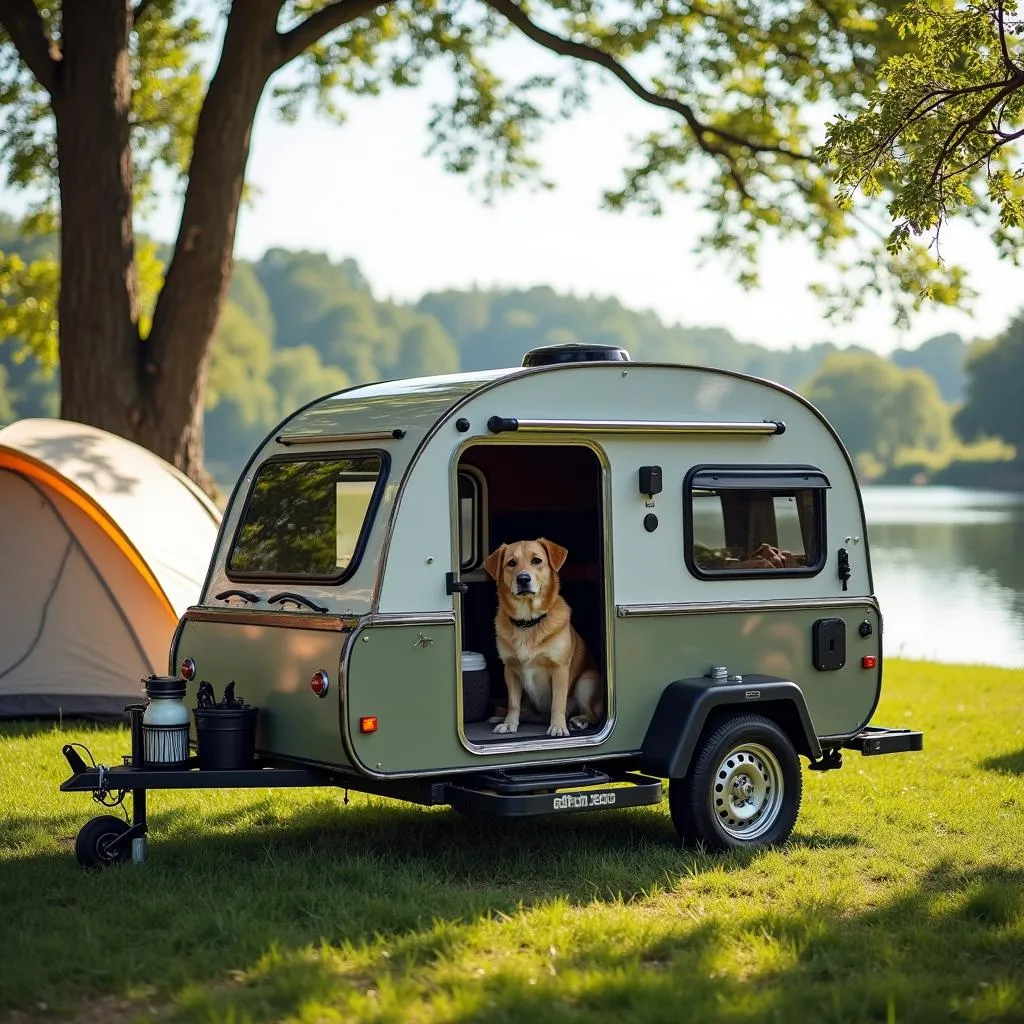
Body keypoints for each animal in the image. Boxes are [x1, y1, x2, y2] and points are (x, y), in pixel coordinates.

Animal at [483, 536, 602, 737]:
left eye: (536, 561)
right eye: (511, 563)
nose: (523, 578)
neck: (528, 621)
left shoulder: (559, 668)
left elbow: (558, 703)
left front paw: (558, 726)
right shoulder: (511, 669)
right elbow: (513, 704)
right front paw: (509, 723)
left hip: (586, 682)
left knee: (594, 714)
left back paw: (580, 720)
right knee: (523, 711)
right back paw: (501, 717)